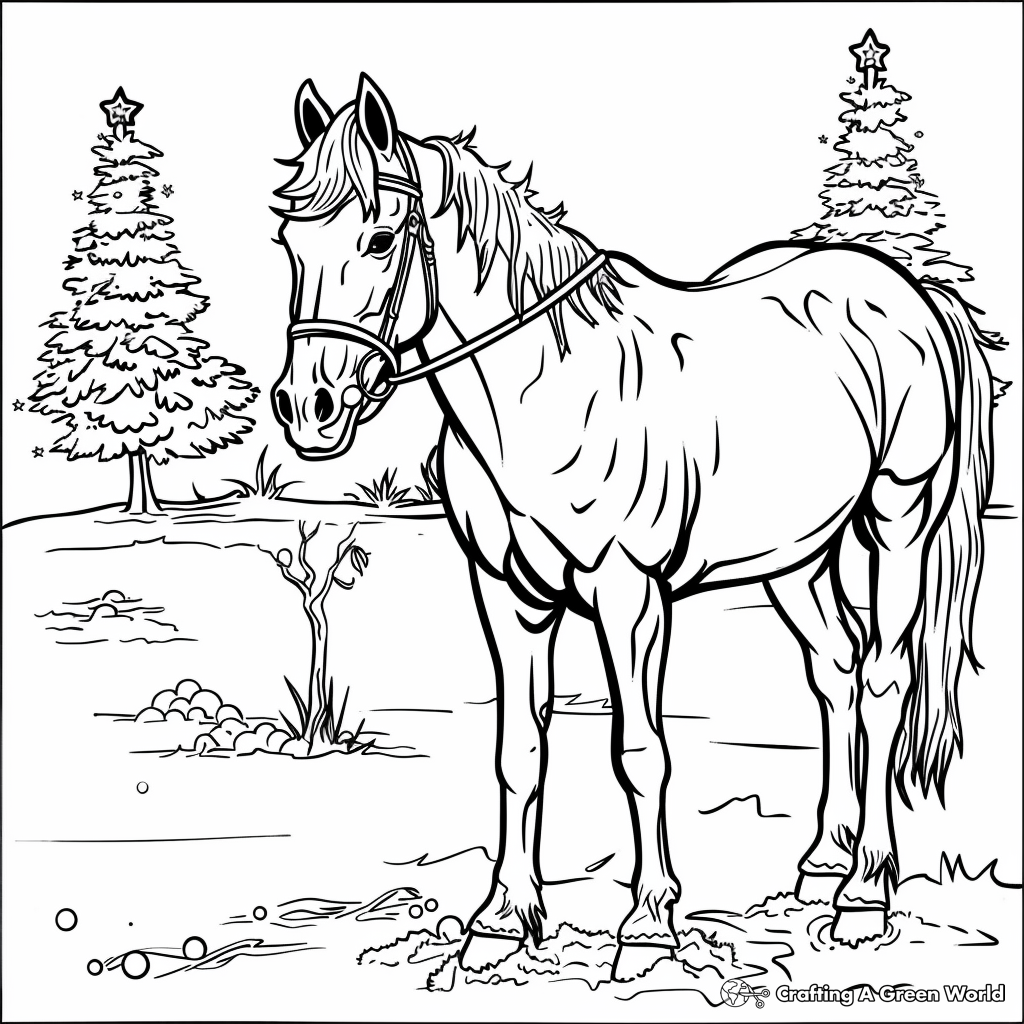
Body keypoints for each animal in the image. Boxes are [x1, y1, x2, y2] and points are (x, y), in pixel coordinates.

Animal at [271, 74, 997, 979]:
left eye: (378, 237)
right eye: (290, 241)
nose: (308, 408)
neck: (546, 394)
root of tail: (907, 294)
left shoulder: (629, 595)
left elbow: (640, 754)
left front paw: (649, 924)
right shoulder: (507, 597)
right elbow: (519, 752)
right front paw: (502, 921)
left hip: (897, 518)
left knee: (884, 680)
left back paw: (864, 895)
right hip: (795, 559)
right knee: (836, 669)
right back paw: (823, 864)